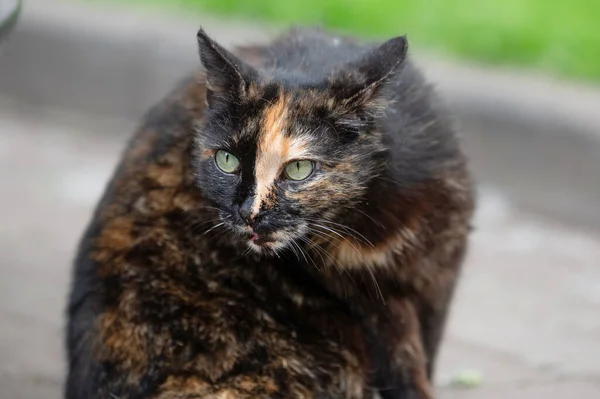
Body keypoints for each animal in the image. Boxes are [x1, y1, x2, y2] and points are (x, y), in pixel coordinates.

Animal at [65, 25, 476, 399]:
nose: (249, 212)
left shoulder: (439, 276)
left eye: (299, 169)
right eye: (227, 161)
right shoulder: (369, 300)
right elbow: (402, 365)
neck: (367, 219)